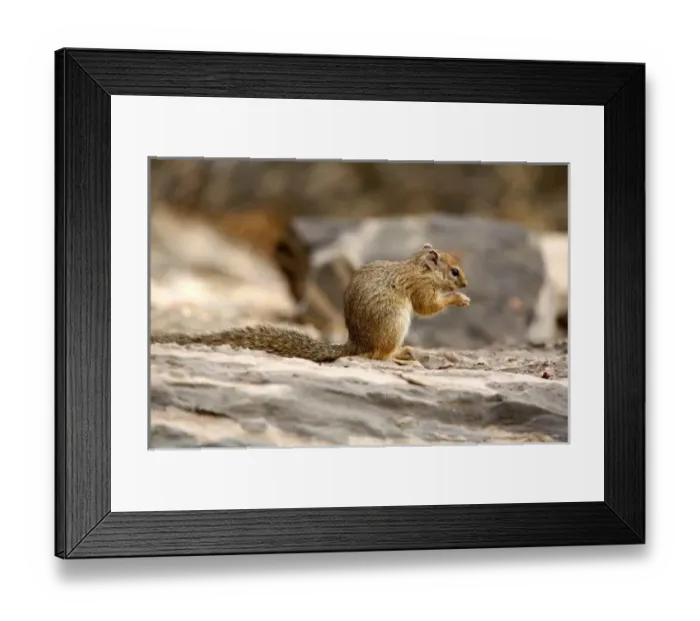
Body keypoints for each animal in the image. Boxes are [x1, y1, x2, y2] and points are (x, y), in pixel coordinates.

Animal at [151, 243, 470, 365]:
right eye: (454, 271)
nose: (467, 284)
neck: (418, 267)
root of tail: (356, 343)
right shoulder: (421, 288)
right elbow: (428, 307)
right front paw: (459, 299)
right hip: (395, 323)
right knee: (379, 355)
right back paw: (400, 354)